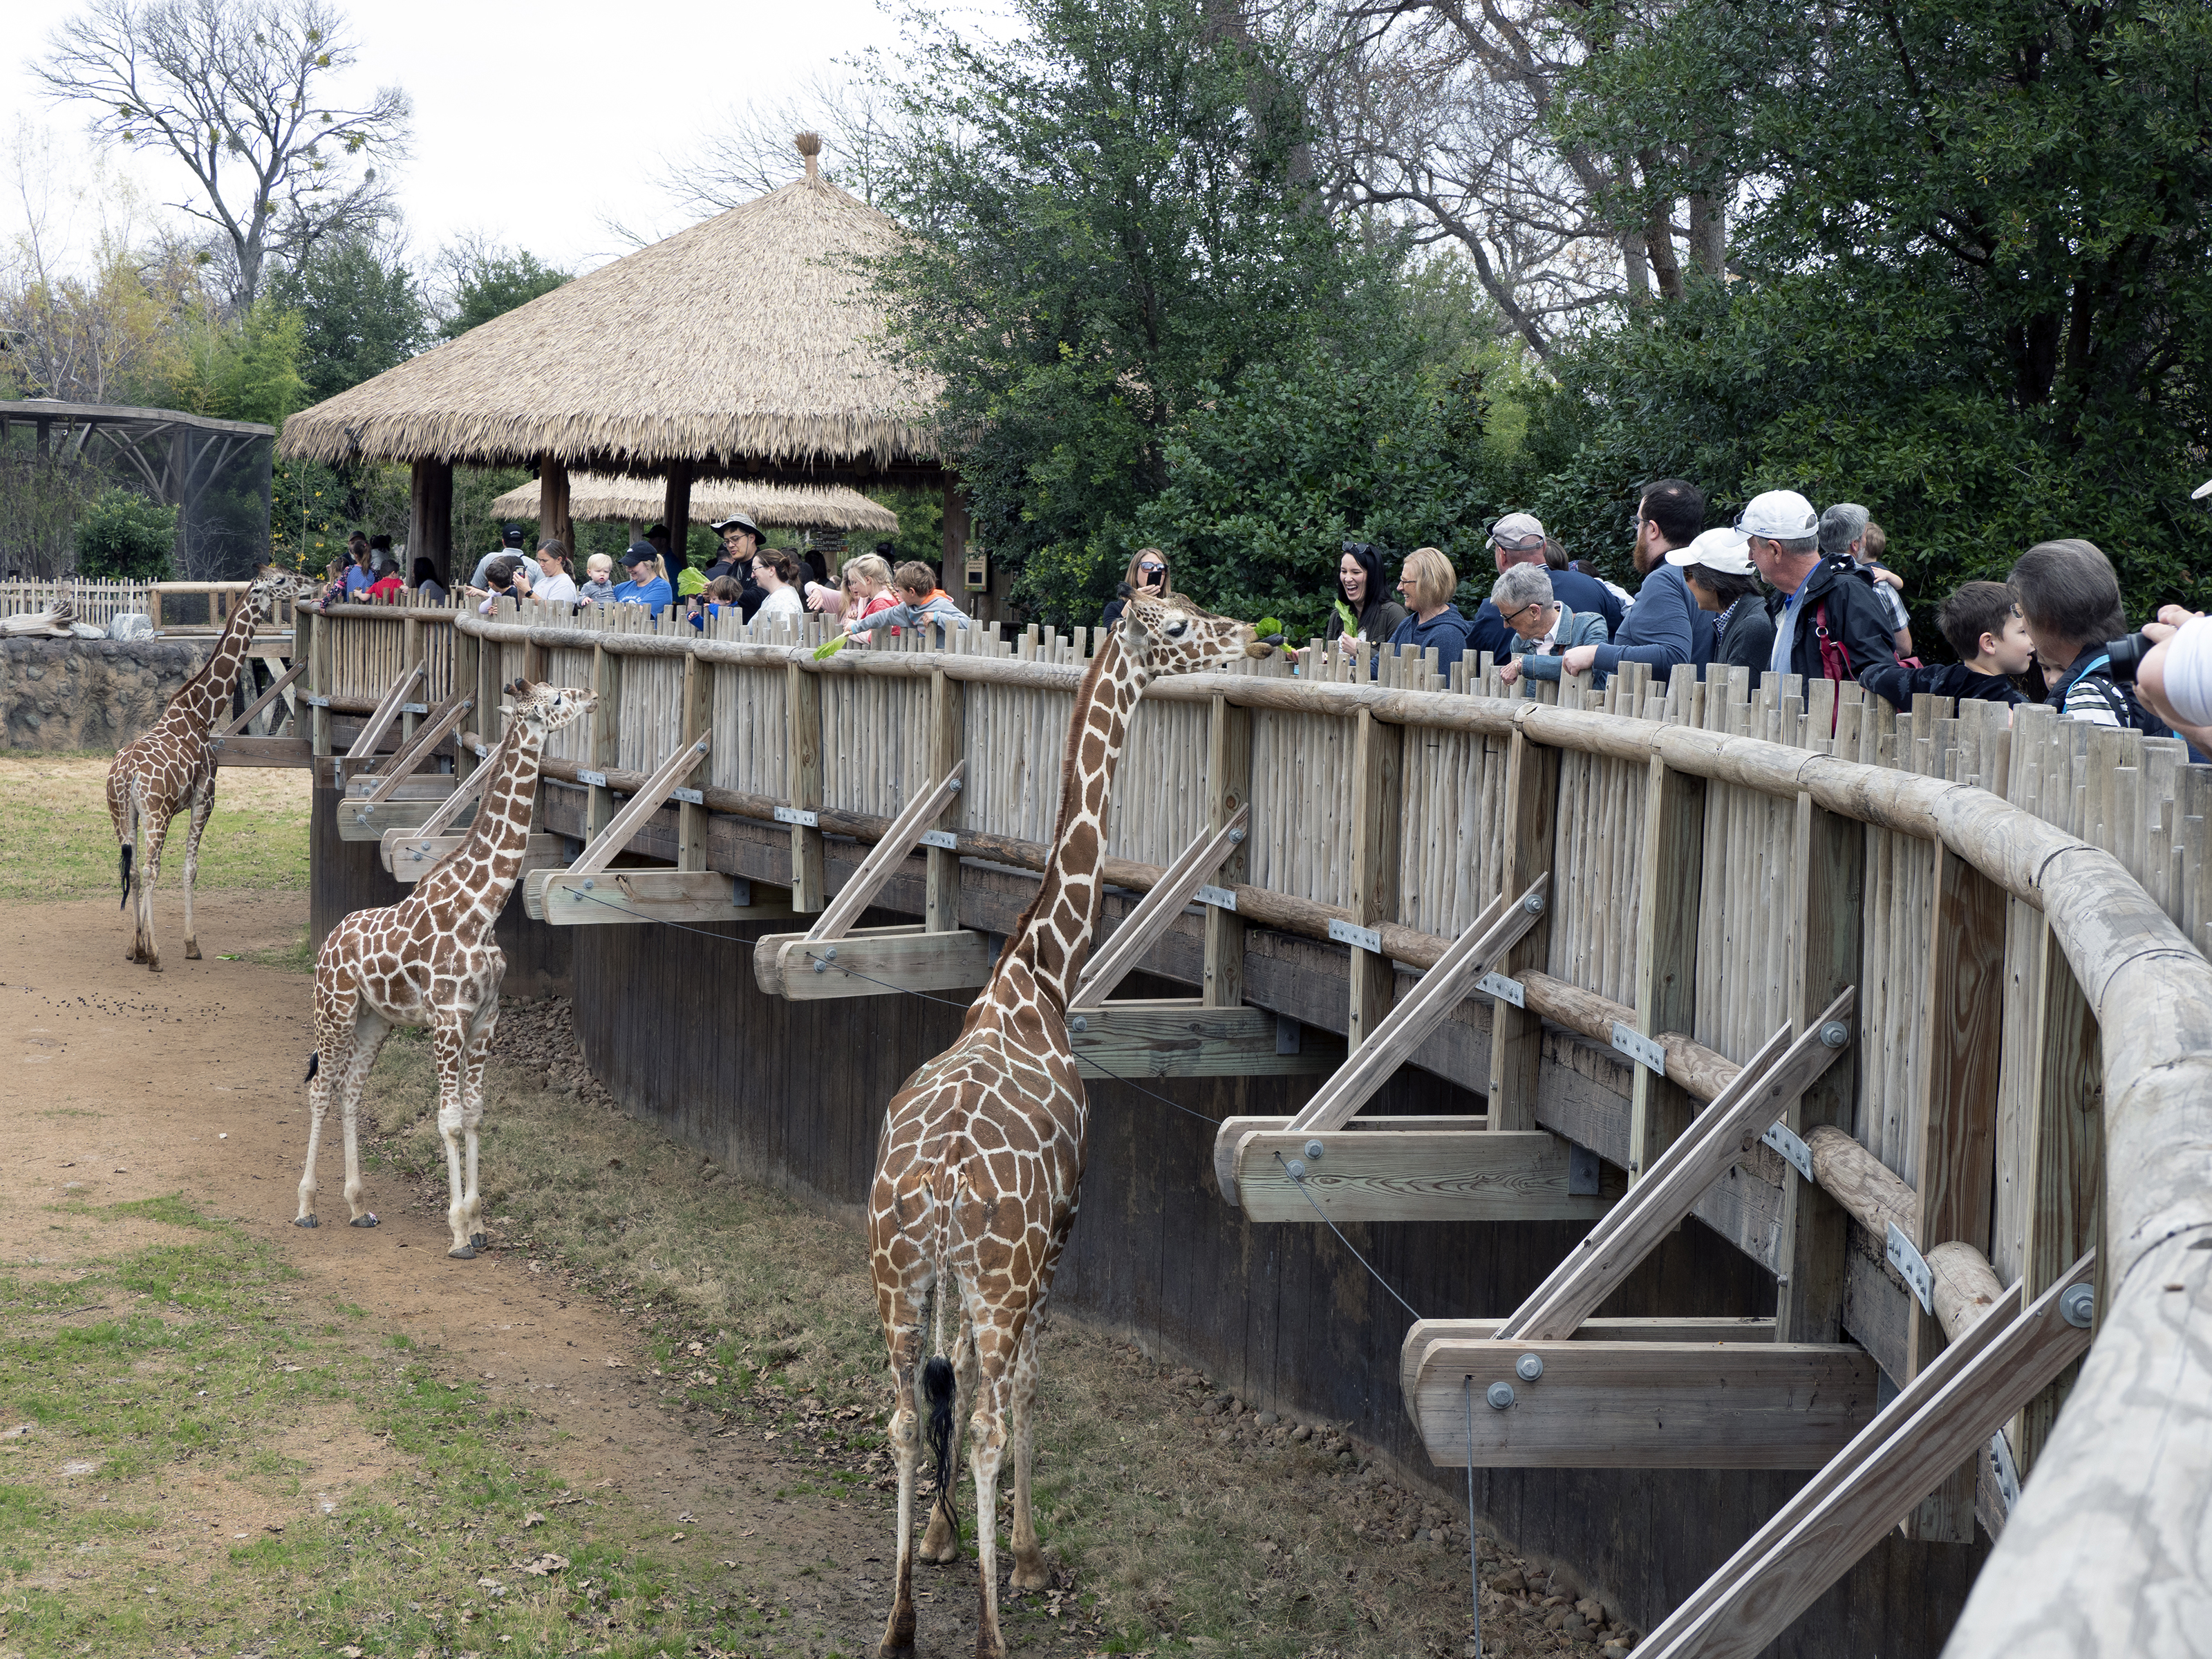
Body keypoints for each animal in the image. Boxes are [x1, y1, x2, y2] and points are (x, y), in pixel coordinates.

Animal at [107, 565, 320, 972]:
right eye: (282, 581)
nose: (314, 583)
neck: (201, 713)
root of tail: (126, 775)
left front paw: (135, 947)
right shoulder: (206, 798)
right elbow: (190, 869)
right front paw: (191, 945)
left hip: (121, 814)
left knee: (133, 870)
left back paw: (138, 949)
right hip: (156, 814)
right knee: (150, 869)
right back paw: (155, 955)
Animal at [294, 678, 596, 1257]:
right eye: (554, 701)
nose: (592, 697)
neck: (483, 907)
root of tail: (329, 942)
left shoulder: (484, 1020)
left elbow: (475, 1115)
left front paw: (478, 1224)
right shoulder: (448, 1019)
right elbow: (450, 1119)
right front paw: (457, 1231)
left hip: (376, 1019)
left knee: (351, 1088)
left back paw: (359, 1206)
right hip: (333, 1008)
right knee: (321, 1090)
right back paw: (306, 1207)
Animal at [870, 595, 1273, 1659]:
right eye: (1174, 624)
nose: (1252, 636)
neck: (1038, 981)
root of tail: (943, 1180)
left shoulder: (954, 1275)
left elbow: (958, 1373)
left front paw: (940, 1539)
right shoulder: (1059, 1236)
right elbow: (1024, 1387)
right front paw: (1023, 1553)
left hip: (894, 1266)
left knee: (902, 1413)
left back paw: (899, 1624)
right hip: (1001, 1267)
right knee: (990, 1418)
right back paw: (992, 1629)